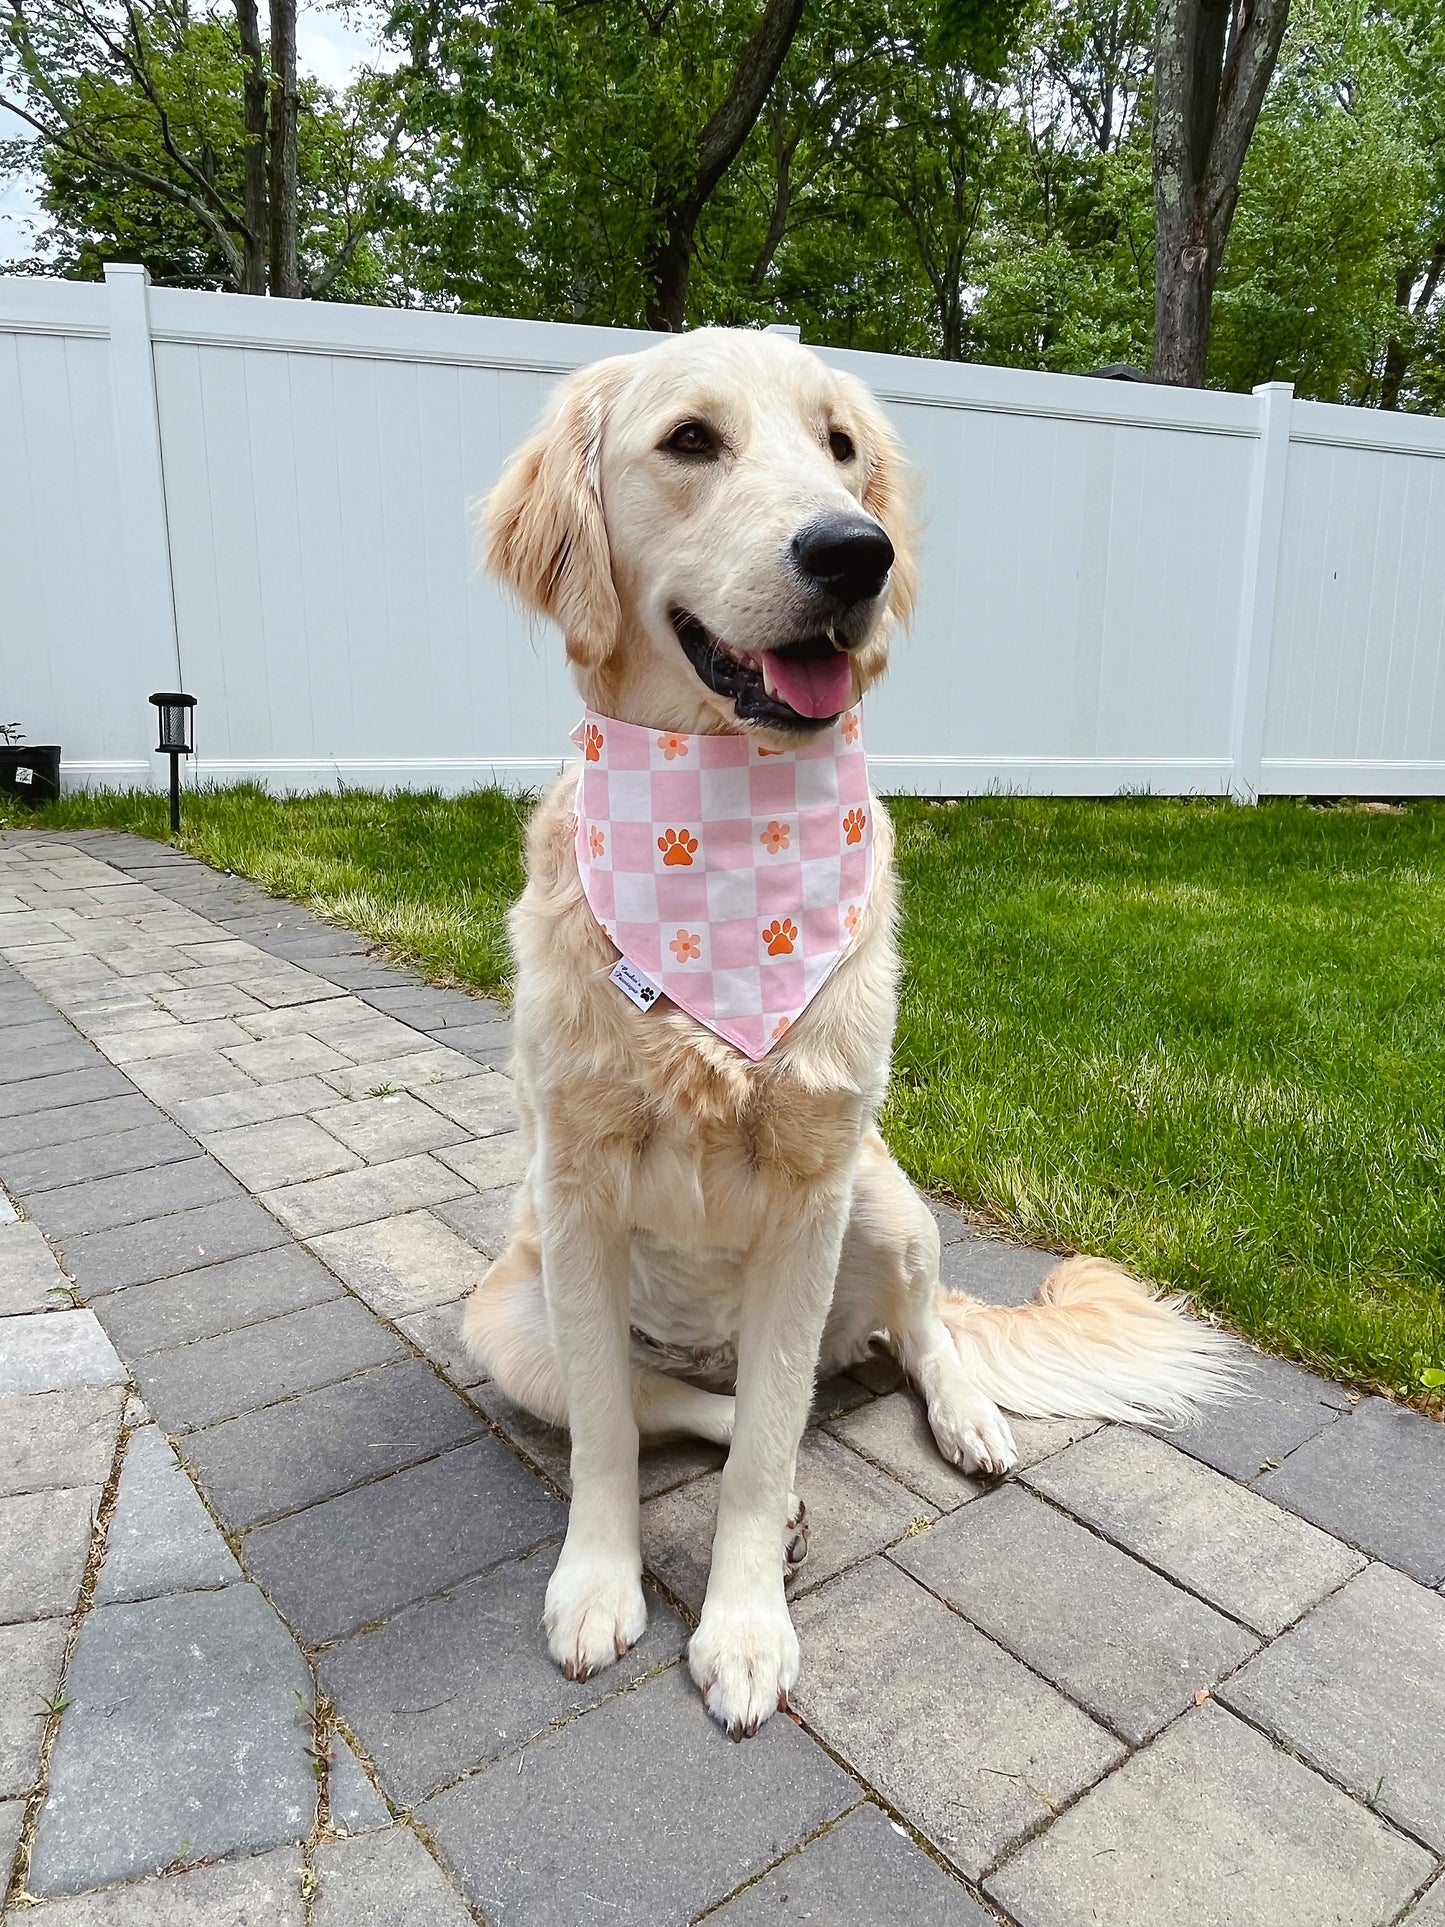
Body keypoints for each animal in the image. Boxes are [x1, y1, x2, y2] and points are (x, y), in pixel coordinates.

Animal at [470, 323, 1240, 1742]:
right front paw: (600, 1585)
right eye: (690, 440)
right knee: (687, 1403)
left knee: (913, 1335)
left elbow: (778, 1428)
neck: (720, 832)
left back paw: (966, 1416)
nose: (853, 553)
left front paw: (743, 1630)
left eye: (838, 447)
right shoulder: (577, 1189)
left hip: (886, 1197)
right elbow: (614, 1431)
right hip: (506, 1314)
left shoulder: (812, 1187)